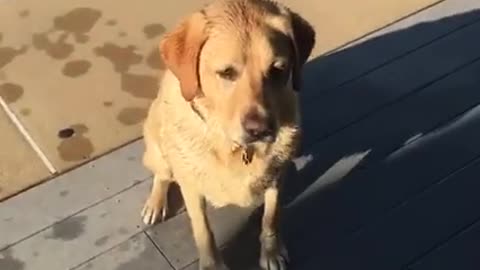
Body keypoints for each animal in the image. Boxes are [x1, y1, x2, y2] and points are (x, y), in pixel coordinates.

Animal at [142, 1, 316, 268]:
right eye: (226, 73)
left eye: (278, 70)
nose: (261, 130)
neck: (232, 146)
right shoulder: (191, 187)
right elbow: (204, 232)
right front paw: (212, 264)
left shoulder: (277, 178)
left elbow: (271, 218)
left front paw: (271, 252)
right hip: (159, 150)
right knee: (161, 175)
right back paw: (155, 203)